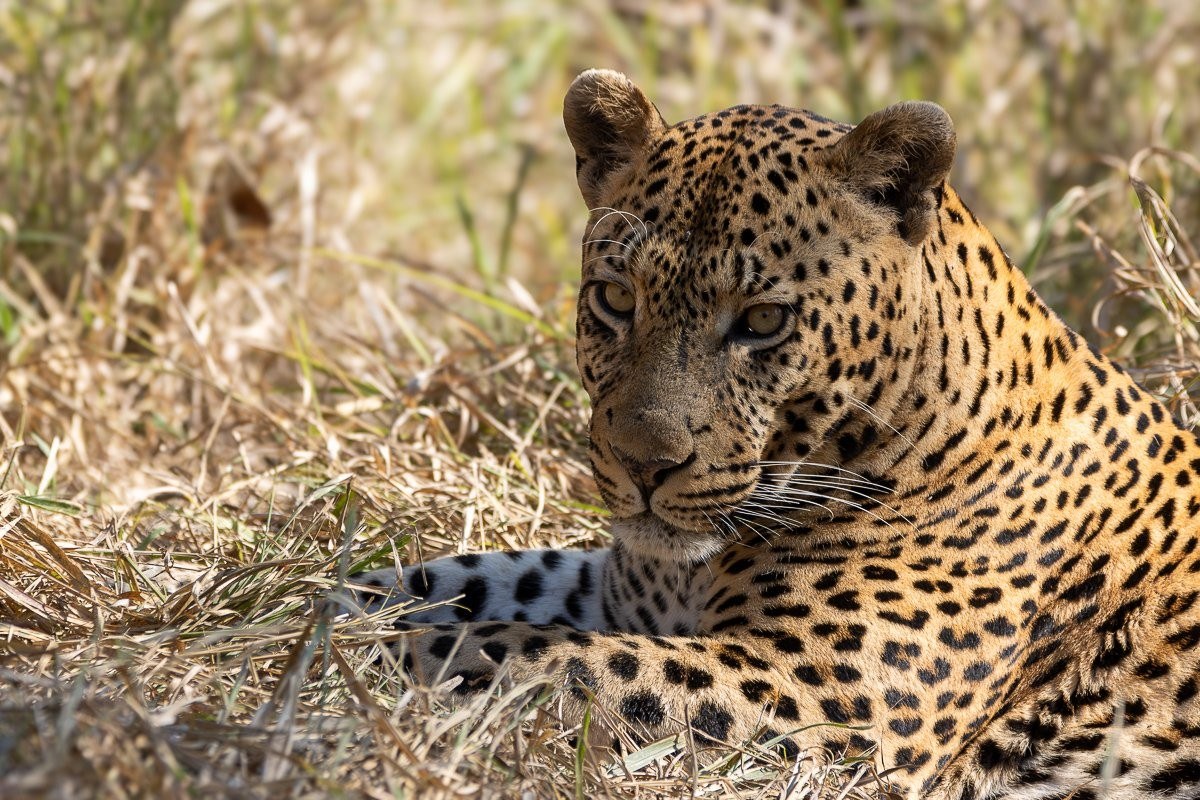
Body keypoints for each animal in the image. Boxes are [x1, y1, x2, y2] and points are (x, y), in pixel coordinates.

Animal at [356, 70, 1200, 798]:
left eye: (763, 322)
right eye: (615, 299)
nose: (643, 465)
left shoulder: (823, 700)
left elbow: (528, 654)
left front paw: (366, 661)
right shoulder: (624, 592)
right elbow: (455, 580)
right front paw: (337, 610)